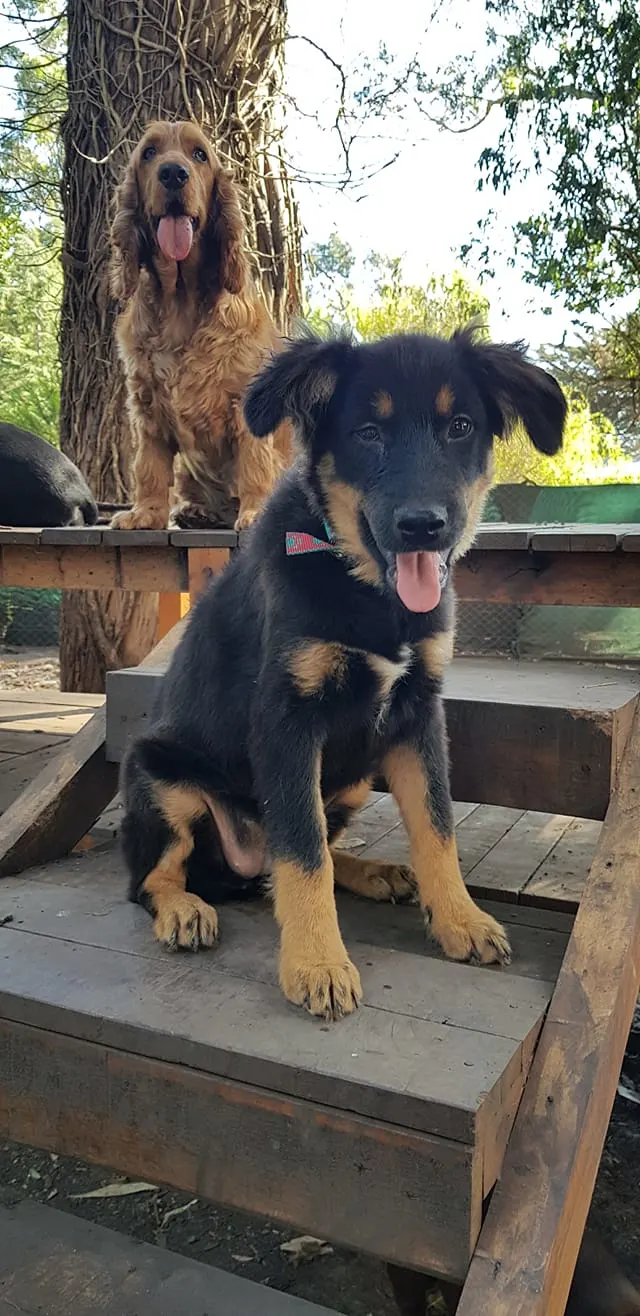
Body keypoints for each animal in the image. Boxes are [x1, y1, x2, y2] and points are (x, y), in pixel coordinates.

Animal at [109, 121, 289, 531]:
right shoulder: (146, 406)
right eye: (149, 152)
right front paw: (146, 513)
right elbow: (149, 467)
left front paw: (255, 512)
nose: (173, 173)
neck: (180, 302)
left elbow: (254, 462)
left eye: (199, 155)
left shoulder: (246, 403)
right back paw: (196, 511)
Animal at [122, 326, 566, 1015]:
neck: (366, 586)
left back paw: (374, 873)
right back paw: (183, 909)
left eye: (460, 426)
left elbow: (436, 828)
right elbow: (303, 852)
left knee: (309, 855)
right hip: (161, 779)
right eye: (367, 432)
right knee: (153, 877)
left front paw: (460, 920)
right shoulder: (287, 722)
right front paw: (317, 964)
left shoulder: (417, 716)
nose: (423, 527)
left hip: (358, 774)